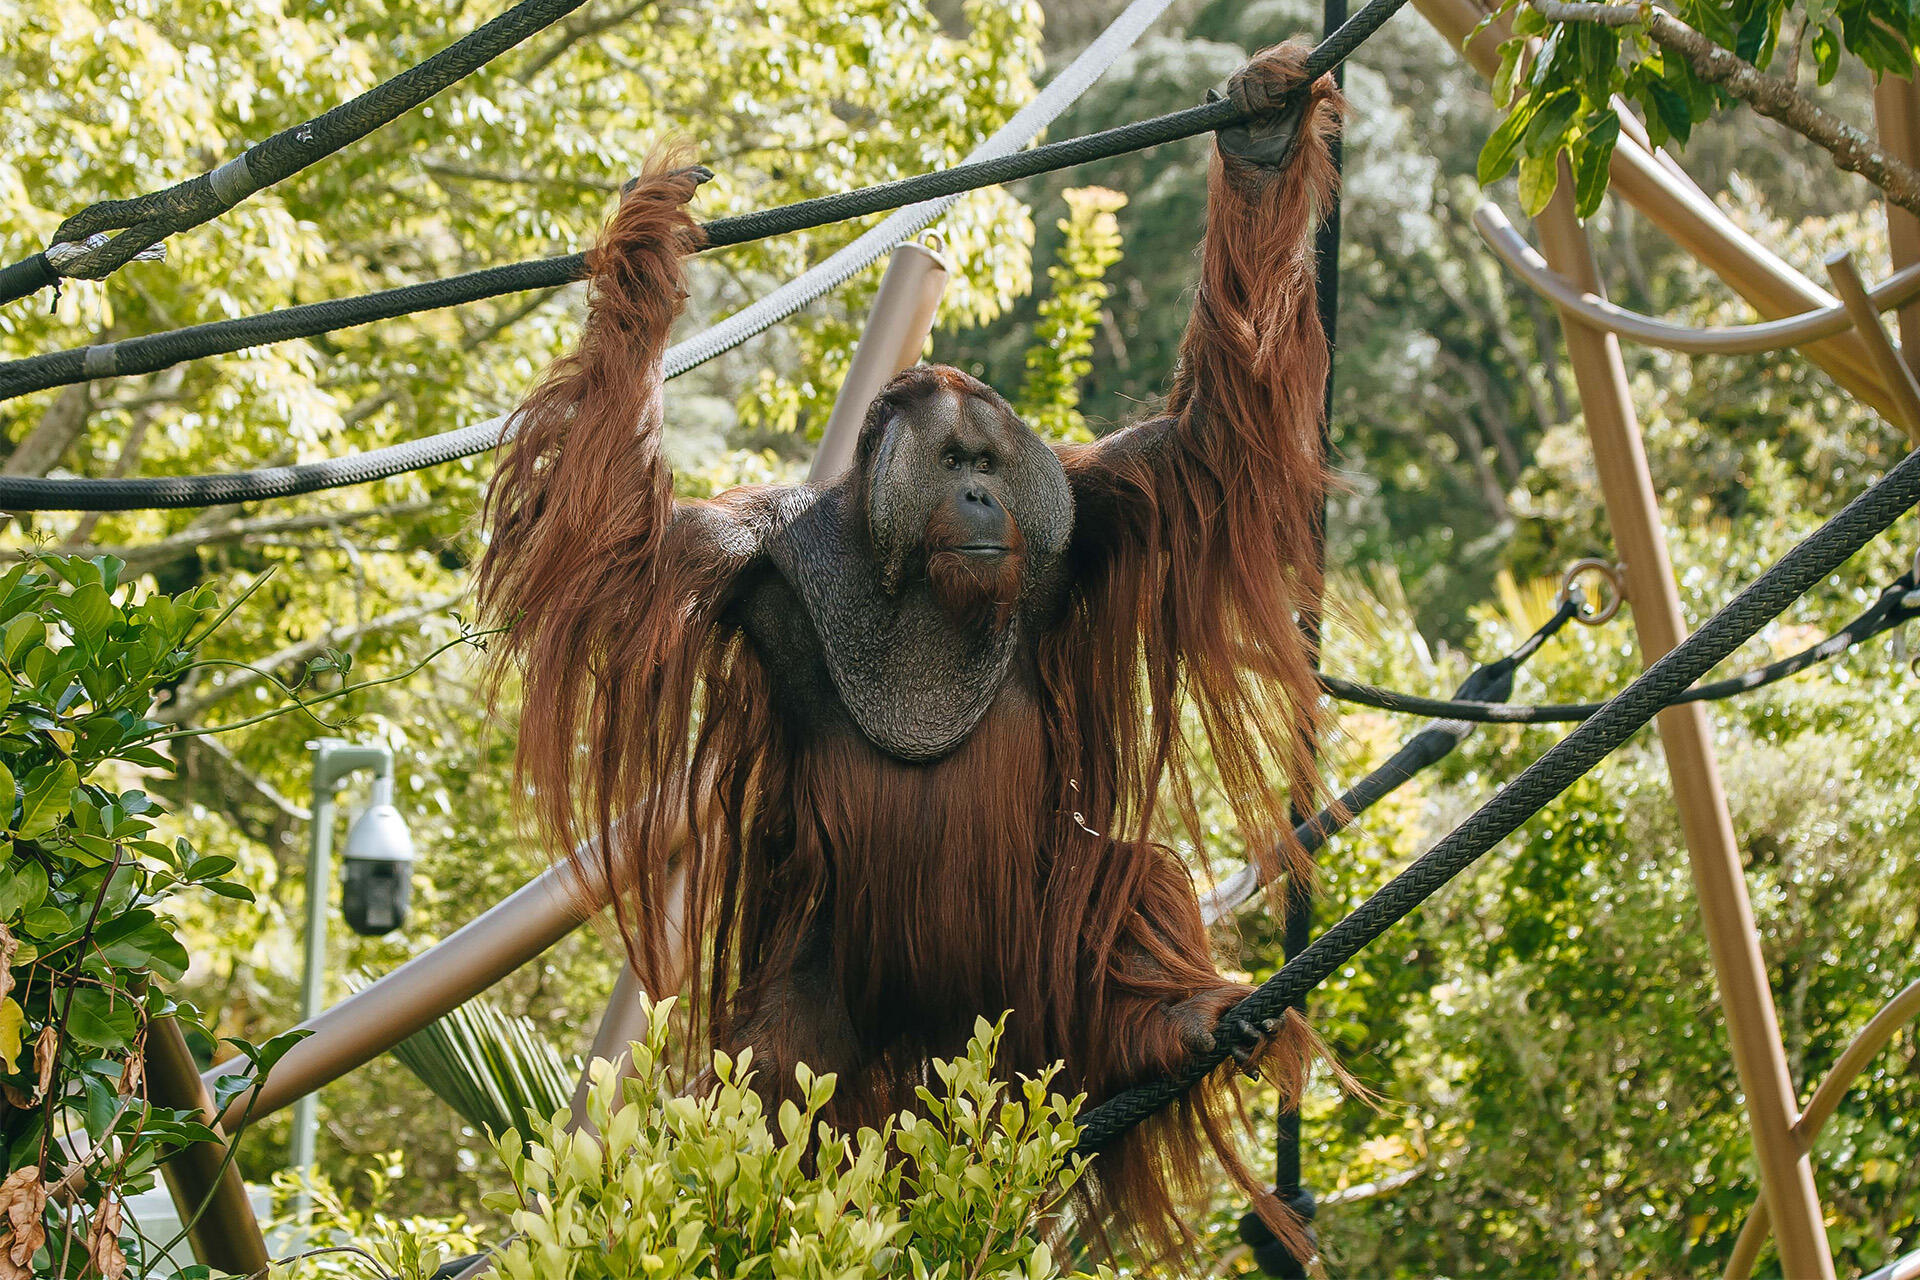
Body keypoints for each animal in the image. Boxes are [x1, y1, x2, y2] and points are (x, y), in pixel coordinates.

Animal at [476, 40, 1343, 1259]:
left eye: (989, 459)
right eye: (950, 464)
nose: (981, 494)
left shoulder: (1093, 506)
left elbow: (1216, 442)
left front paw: (1264, 131)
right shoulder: (736, 551)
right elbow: (613, 535)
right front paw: (648, 242)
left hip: (1035, 971)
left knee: (1125, 878)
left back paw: (1173, 1024)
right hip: (838, 979)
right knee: (777, 1068)